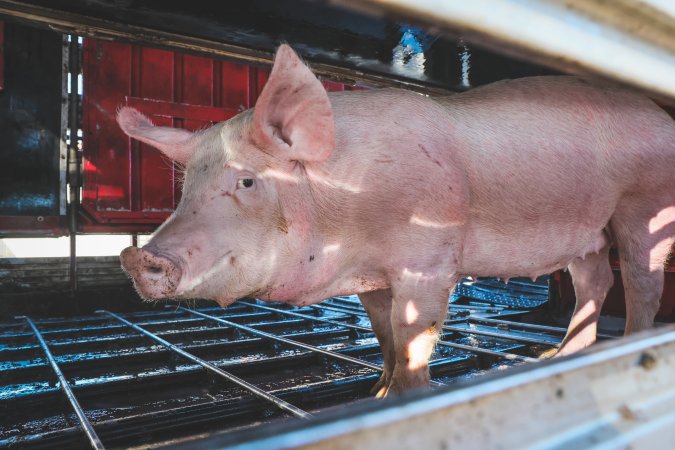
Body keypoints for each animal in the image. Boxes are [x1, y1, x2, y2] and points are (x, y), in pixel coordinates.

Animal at [120, 44, 675, 396]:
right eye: (187, 188)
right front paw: (376, 394)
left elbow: (414, 341)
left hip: (644, 205)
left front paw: (404, 397)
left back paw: (627, 344)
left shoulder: (427, 261)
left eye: (247, 183)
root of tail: (661, 117)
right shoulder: (370, 280)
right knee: (595, 283)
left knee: (641, 283)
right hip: (587, 231)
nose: (137, 256)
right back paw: (556, 359)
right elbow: (384, 336)